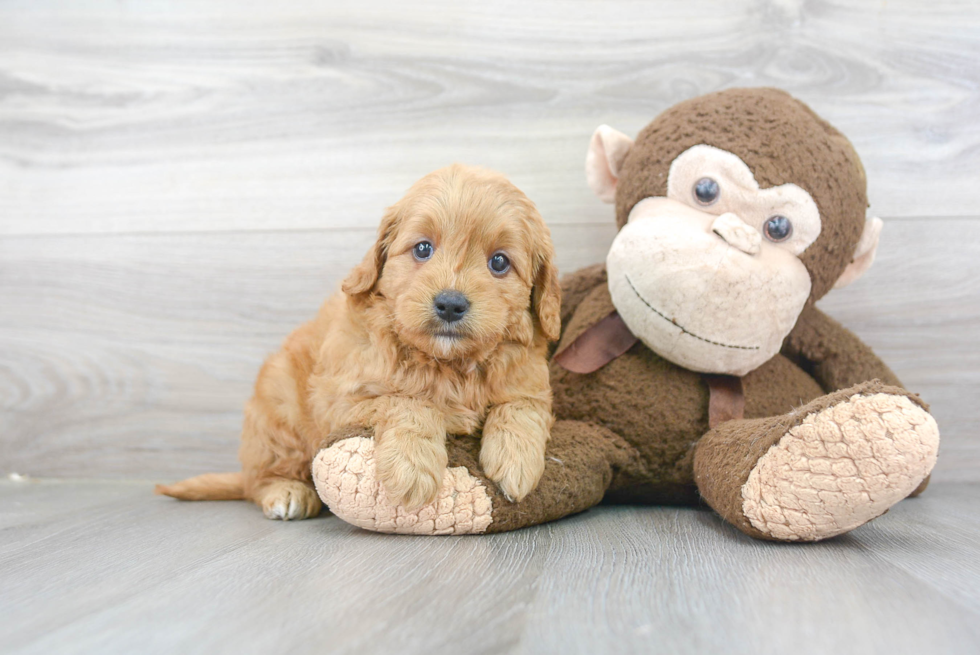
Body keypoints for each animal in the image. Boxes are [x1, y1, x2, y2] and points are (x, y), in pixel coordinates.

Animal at [158, 163, 564, 516]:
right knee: (260, 480)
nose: (450, 304)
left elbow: (521, 406)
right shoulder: (341, 401)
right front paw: (412, 468)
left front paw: (516, 461)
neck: (446, 362)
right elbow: (409, 401)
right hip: (278, 411)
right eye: (423, 248)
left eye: (499, 262)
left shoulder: (531, 380)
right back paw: (286, 493)